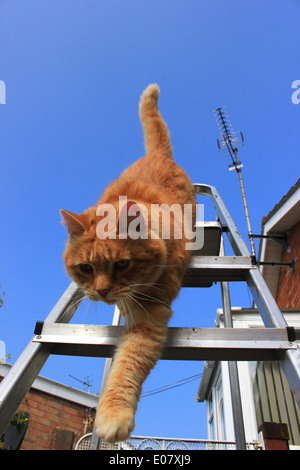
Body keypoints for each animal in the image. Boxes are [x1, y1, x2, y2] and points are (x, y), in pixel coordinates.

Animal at [61, 83, 197, 440]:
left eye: (122, 264)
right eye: (86, 268)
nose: (102, 292)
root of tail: (158, 154)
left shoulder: (152, 312)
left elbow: (129, 362)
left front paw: (113, 414)